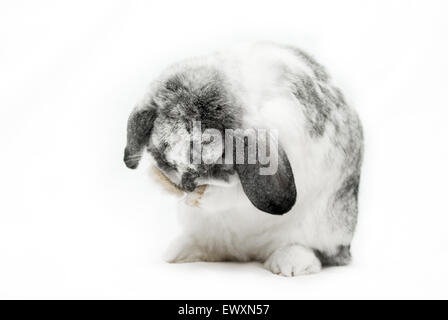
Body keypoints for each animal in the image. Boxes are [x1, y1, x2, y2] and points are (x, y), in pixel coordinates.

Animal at [123, 43, 364, 276]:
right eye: (163, 147)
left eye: (218, 155)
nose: (186, 186)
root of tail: (249, 250)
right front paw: (161, 181)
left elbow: (233, 193)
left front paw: (202, 196)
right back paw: (180, 251)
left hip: (323, 228)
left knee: (316, 251)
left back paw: (291, 263)